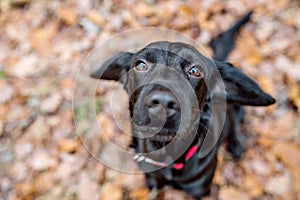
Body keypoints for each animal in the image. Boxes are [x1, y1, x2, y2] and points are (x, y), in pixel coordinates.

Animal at [90, 12, 276, 198]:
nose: (163, 103)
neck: (167, 155)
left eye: (195, 71)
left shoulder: (200, 190)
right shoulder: (152, 181)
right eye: (141, 65)